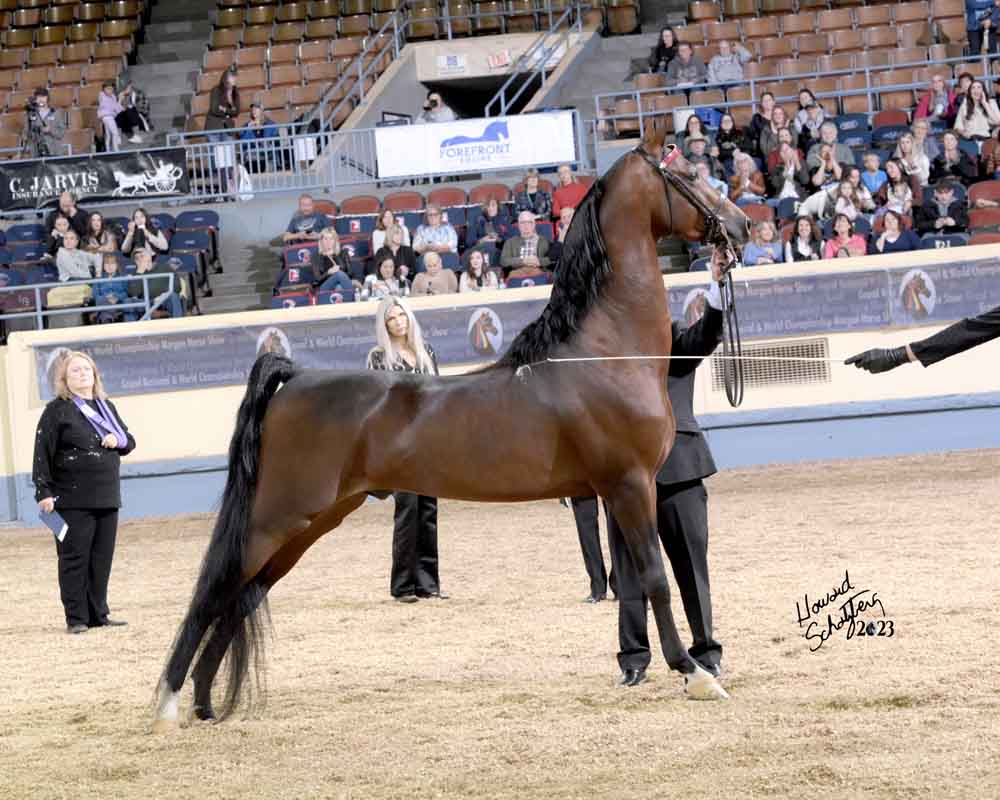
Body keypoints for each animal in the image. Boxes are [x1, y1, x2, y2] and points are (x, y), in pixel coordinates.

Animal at [153, 122, 751, 731]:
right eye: (690, 174)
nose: (742, 226)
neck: (604, 351)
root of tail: (294, 378)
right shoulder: (630, 485)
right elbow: (656, 577)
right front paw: (695, 675)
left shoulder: (620, 490)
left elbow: (644, 578)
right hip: (279, 517)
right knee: (216, 590)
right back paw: (170, 705)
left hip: (311, 523)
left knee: (244, 595)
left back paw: (203, 704)